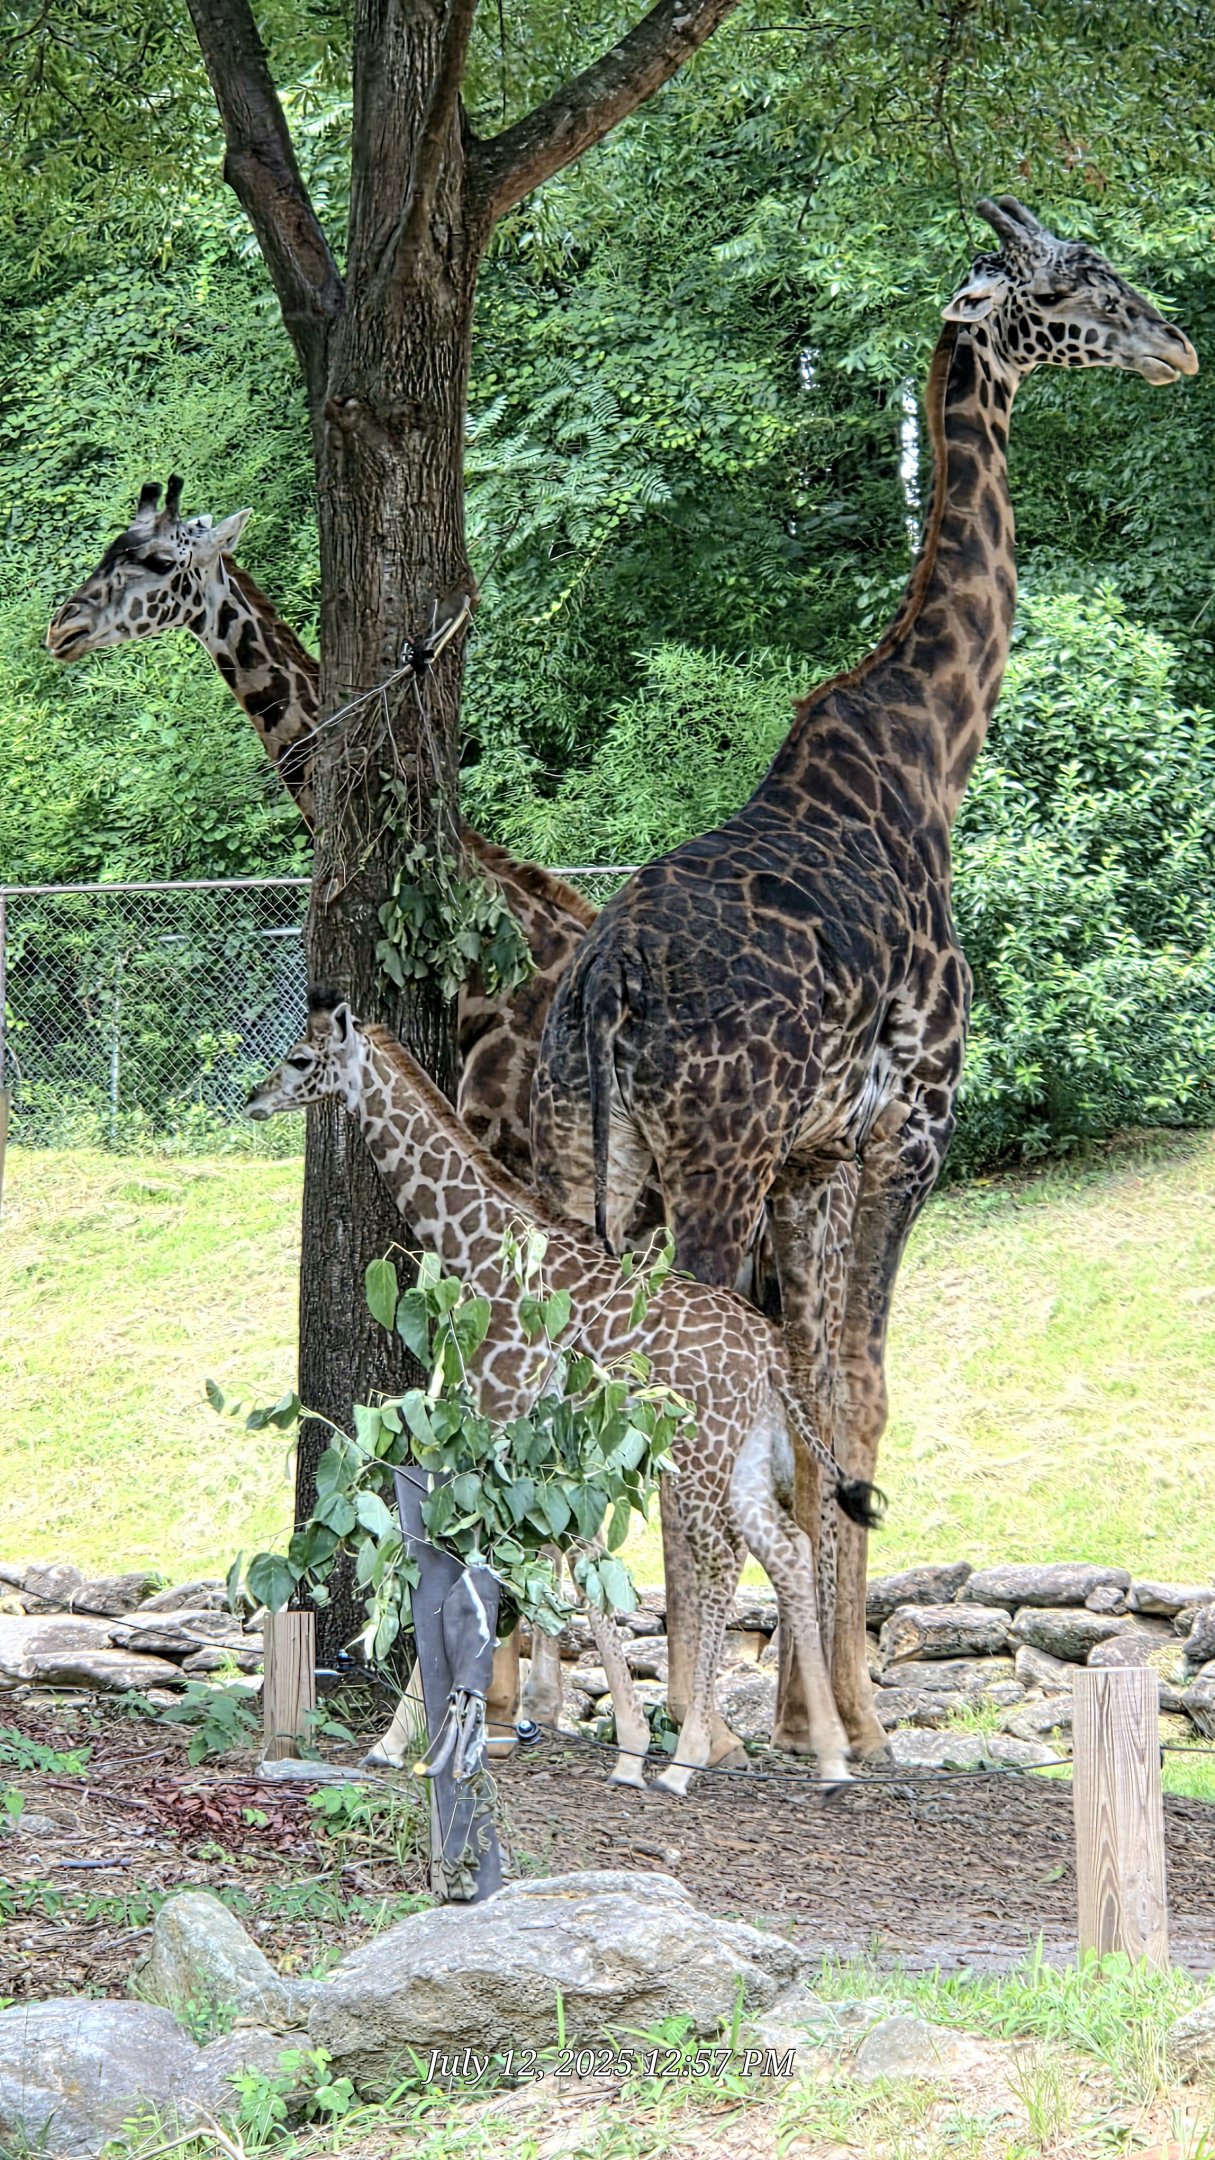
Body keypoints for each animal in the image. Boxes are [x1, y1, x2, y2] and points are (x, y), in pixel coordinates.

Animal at [246, 988, 883, 1795]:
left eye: (302, 1057)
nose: (255, 1096)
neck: (481, 1251)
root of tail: (770, 1353)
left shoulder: (499, 1415)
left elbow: (487, 1561)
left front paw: (408, 1744)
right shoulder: (534, 1443)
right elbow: (567, 1563)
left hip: (699, 1456)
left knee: (720, 1561)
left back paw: (686, 1760)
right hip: (742, 1456)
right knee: (788, 1550)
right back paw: (827, 1757)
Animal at [531, 196, 1198, 1762]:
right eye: (1077, 279)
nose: (1175, 344)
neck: (931, 754)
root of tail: (600, 981)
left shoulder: (809, 1159)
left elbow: (813, 1399)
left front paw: (807, 1707)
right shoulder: (908, 1132)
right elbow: (862, 1392)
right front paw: (853, 1720)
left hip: (586, 1171)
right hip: (702, 1173)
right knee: (675, 1391)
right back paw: (681, 1725)